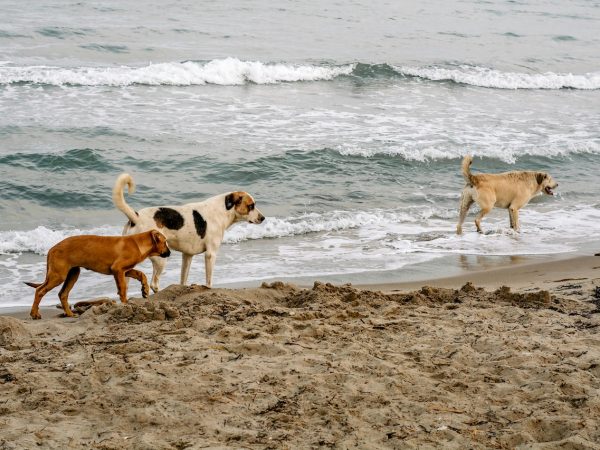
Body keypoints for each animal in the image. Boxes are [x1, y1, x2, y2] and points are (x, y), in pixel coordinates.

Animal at [24, 232, 170, 320]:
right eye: (165, 242)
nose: (169, 253)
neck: (138, 243)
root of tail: (51, 249)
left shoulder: (124, 270)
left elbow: (141, 274)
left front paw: (144, 289)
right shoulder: (118, 269)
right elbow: (123, 288)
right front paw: (125, 304)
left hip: (72, 274)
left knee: (63, 294)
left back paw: (70, 314)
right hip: (58, 275)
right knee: (40, 291)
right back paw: (34, 314)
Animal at [112, 172, 264, 292]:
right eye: (251, 206)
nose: (263, 218)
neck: (222, 210)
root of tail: (136, 217)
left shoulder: (187, 256)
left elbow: (183, 279)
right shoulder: (210, 254)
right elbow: (209, 280)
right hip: (161, 259)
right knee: (154, 284)